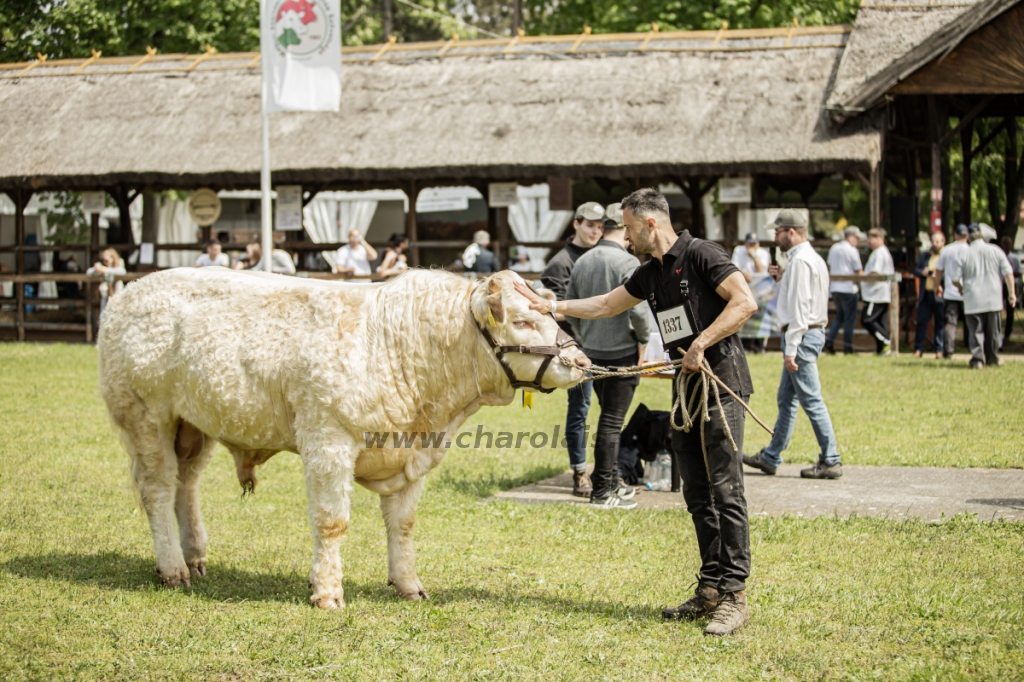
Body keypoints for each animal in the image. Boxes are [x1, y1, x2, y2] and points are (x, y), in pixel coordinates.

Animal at [100, 266, 593, 606]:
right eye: (523, 323)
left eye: (552, 314)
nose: (584, 362)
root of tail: (128, 291)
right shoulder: (327, 441)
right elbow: (331, 522)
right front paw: (327, 592)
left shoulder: (413, 455)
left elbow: (403, 524)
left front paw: (408, 584)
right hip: (146, 419)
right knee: (158, 491)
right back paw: (172, 568)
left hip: (194, 425)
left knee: (186, 486)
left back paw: (195, 555)